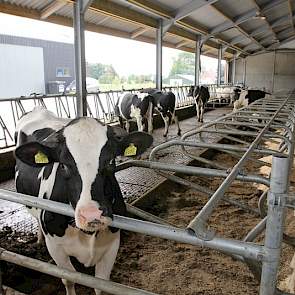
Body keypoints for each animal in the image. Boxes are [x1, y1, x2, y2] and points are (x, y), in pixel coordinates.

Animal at [13, 108, 153, 295]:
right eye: (63, 165)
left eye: (111, 161)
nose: (91, 215)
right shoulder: (56, 248)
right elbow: (69, 279)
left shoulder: (112, 243)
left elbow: (101, 285)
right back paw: (39, 239)